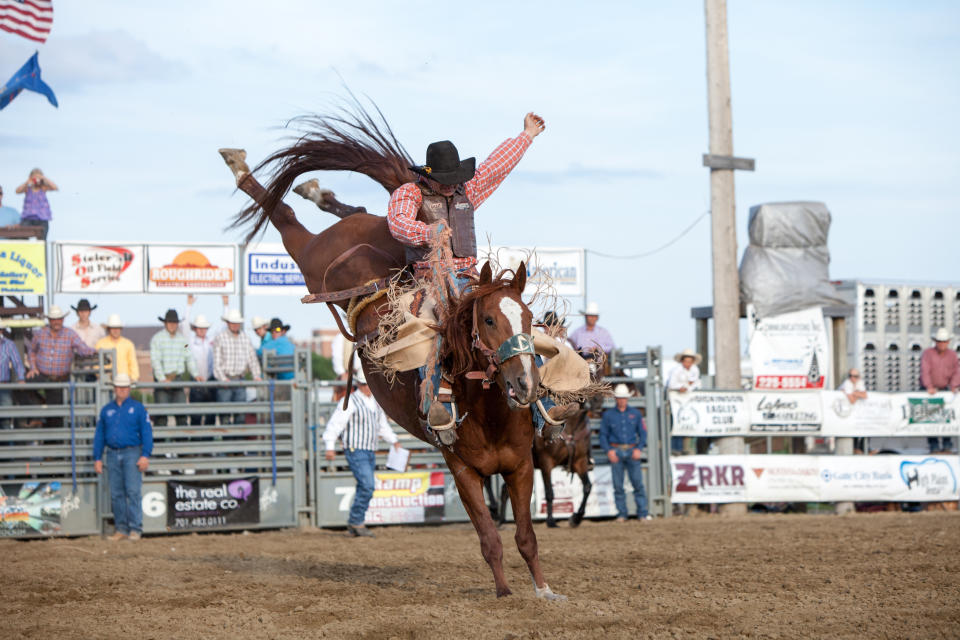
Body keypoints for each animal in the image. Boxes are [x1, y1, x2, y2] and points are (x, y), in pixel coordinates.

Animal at [221, 100, 568, 600]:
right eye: (487, 320)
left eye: (526, 317)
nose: (525, 384)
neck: (488, 408)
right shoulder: (461, 469)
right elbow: (490, 538)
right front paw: (505, 594)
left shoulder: (521, 466)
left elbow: (526, 537)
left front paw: (543, 591)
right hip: (312, 256)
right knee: (288, 218)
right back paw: (243, 167)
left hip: (363, 229)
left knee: (359, 207)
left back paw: (318, 190)